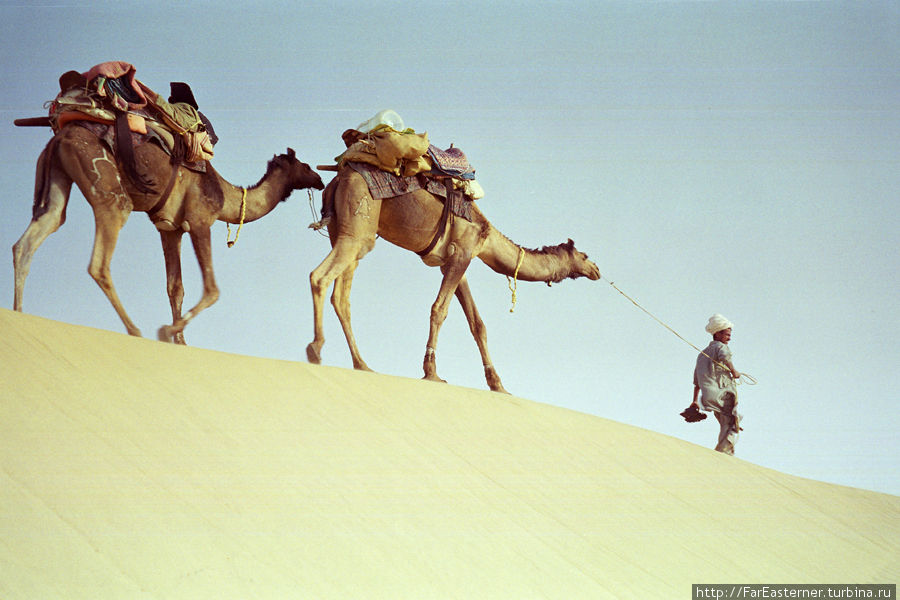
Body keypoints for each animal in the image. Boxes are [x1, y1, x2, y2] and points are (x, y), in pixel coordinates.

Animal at [13, 123, 324, 342]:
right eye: (306, 166)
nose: (320, 179)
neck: (225, 194)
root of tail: (60, 138)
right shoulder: (200, 220)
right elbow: (212, 289)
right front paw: (166, 331)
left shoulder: (169, 229)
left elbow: (175, 288)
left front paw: (180, 342)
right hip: (107, 188)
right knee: (99, 263)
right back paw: (134, 329)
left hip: (58, 178)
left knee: (34, 235)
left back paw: (18, 313)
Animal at [306, 168, 600, 394]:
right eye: (584, 255)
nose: (597, 269)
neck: (486, 235)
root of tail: (337, 180)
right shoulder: (463, 253)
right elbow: (439, 310)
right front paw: (431, 372)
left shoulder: (454, 262)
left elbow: (477, 324)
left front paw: (498, 385)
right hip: (359, 225)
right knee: (319, 277)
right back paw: (316, 350)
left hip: (346, 232)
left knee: (341, 298)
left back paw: (362, 365)